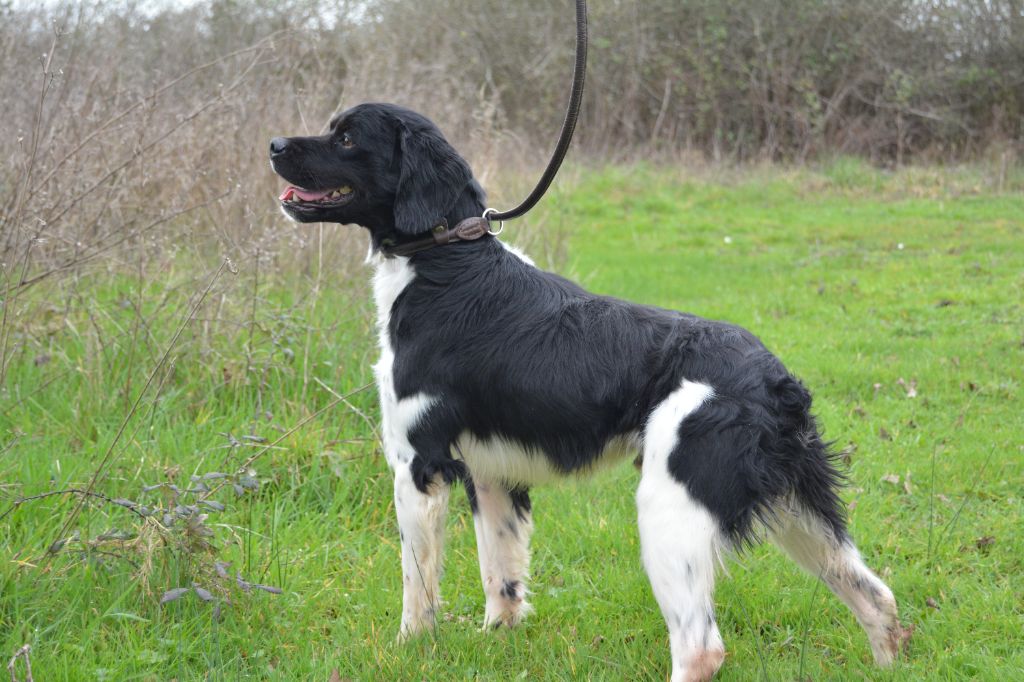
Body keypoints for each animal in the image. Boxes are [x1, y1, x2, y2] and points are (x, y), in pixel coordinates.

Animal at [268, 103, 909, 675]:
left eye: (347, 137)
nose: (274, 144)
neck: (444, 267)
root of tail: (775, 381)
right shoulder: (492, 474)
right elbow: (501, 577)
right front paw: (497, 643)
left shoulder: (418, 465)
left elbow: (417, 587)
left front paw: (409, 650)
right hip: (798, 510)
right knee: (877, 597)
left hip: (670, 511)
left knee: (701, 648)